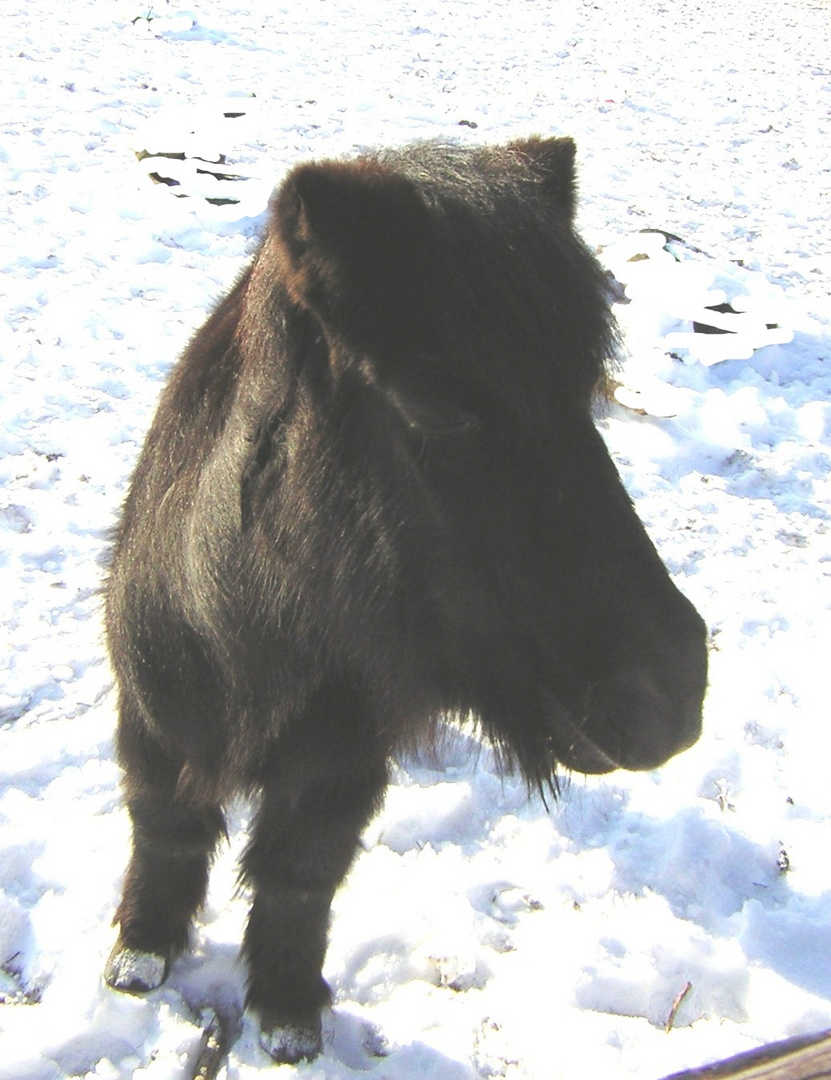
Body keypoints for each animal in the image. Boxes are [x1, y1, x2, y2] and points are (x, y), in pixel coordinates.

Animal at [100, 137, 704, 1062]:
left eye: (586, 390)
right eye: (432, 406)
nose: (670, 697)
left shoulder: (341, 762)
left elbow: (299, 877)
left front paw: (286, 1013)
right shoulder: (155, 719)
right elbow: (164, 827)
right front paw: (143, 950)